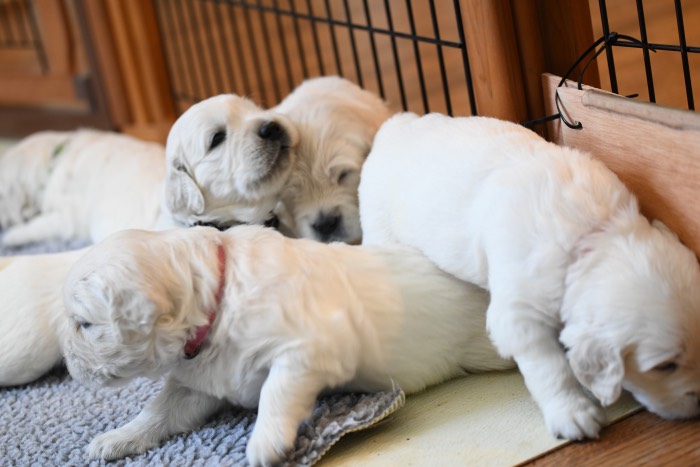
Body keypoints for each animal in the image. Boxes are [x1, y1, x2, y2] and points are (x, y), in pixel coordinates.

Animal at [61, 226, 516, 464]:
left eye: (84, 324)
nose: (66, 364)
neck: (217, 302)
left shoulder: (308, 348)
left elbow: (274, 391)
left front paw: (264, 443)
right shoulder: (195, 382)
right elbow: (159, 410)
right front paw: (116, 439)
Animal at [358, 111, 700, 440]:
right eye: (665, 366)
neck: (594, 235)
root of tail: (394, 126)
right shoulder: (520, 311)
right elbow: (550, 367)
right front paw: (572, 413)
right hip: (378, 225)